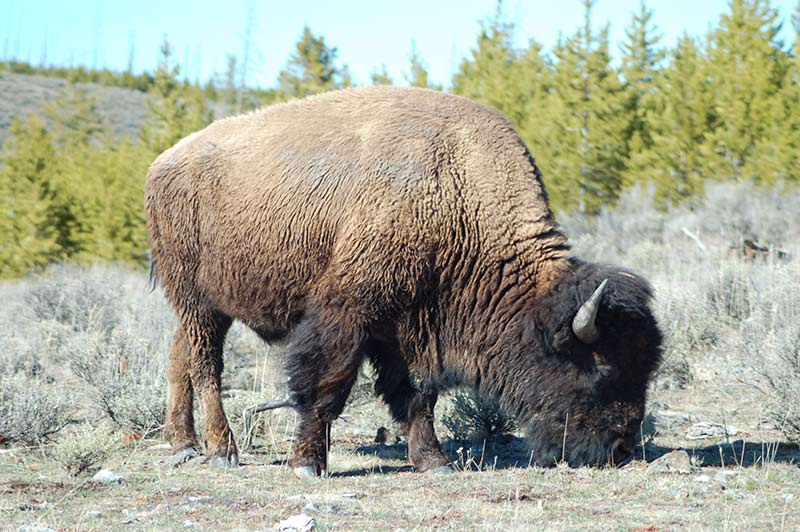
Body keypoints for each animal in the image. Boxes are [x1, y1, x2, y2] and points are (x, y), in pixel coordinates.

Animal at [145, 85, 664, 476]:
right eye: (601, 368)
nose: (621, 448)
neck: (455, 188)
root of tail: (162, 162)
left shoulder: (412, 326)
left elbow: (418, 394)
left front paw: (433, 461)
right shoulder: (348, 313)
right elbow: (326, 385)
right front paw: (308, 463)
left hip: (203, 307)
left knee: (180, 357)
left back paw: (184, 444)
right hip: (200, 302)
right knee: (207, 367)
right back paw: (222, 451)